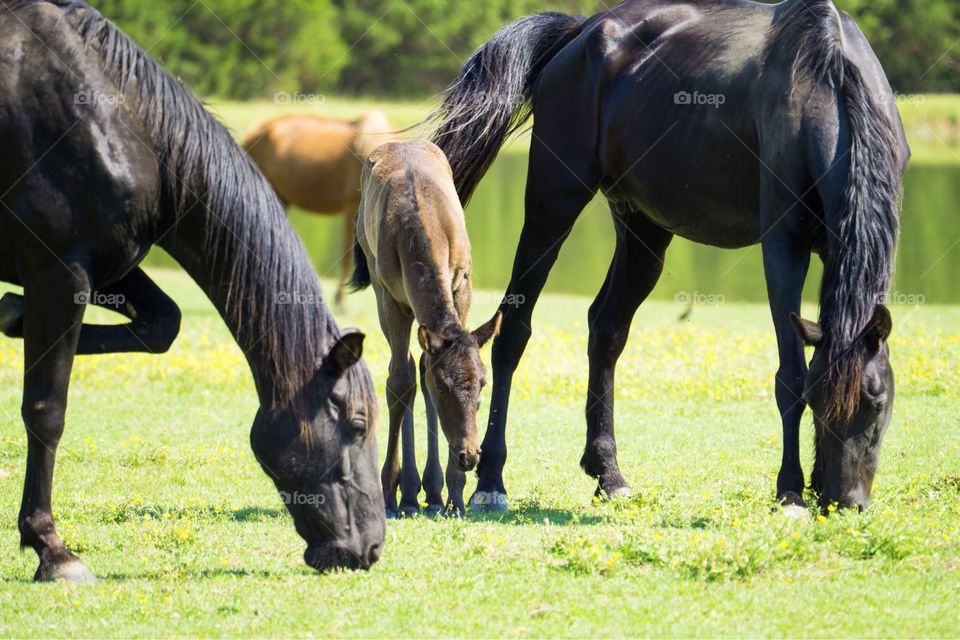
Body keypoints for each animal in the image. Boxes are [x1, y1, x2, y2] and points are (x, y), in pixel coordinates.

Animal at [352, 142, 502, 516]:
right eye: (444, 387)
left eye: (482, 383)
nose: (469, 456)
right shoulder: (390, 298)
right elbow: (399, 382)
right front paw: (390, 492)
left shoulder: (462, 284)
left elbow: (422, 371)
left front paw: (455, 494)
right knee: (404, 370)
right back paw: (408, 491)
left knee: (418, 363)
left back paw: (431, 491)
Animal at [432, 0, 912, 512]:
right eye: (821, 401)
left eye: (878, 402)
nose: (847, 500)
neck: (827, 85)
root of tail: (579, 34)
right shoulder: (785, 246)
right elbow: (789, 374)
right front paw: (790, 492)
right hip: (552, 205)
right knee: (512, 332)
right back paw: (491, 481)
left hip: (643, 229)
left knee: (606, 330)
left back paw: (608, 473)